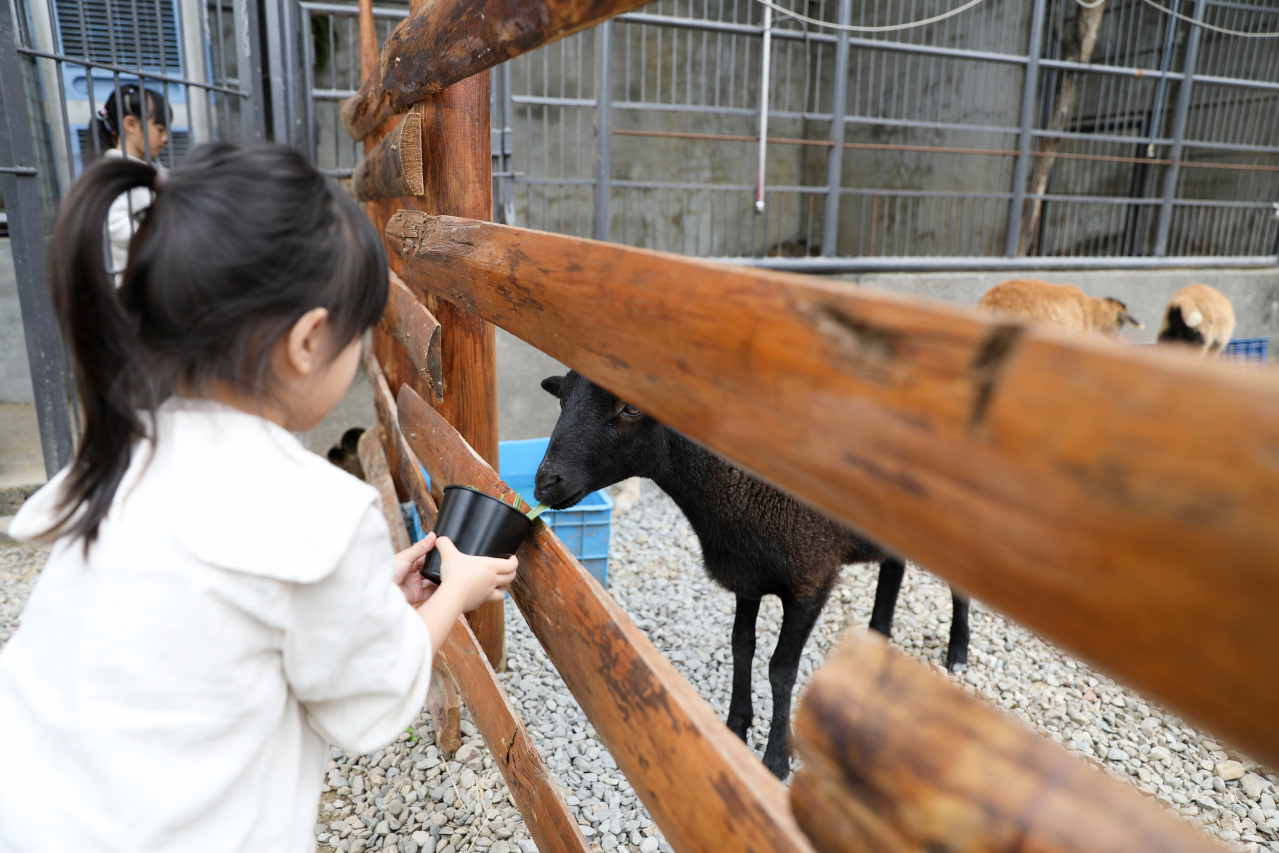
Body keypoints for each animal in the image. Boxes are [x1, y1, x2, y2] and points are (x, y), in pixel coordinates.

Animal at [532, 373, 966, 782]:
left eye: (632, 409)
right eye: (562, 398)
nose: (545, 483)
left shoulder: (811, 575)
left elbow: (780, 670)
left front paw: (776, 760)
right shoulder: (746, 576)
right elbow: (742, 645)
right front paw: (735, 727)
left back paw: (958, 651)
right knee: (894, 565)